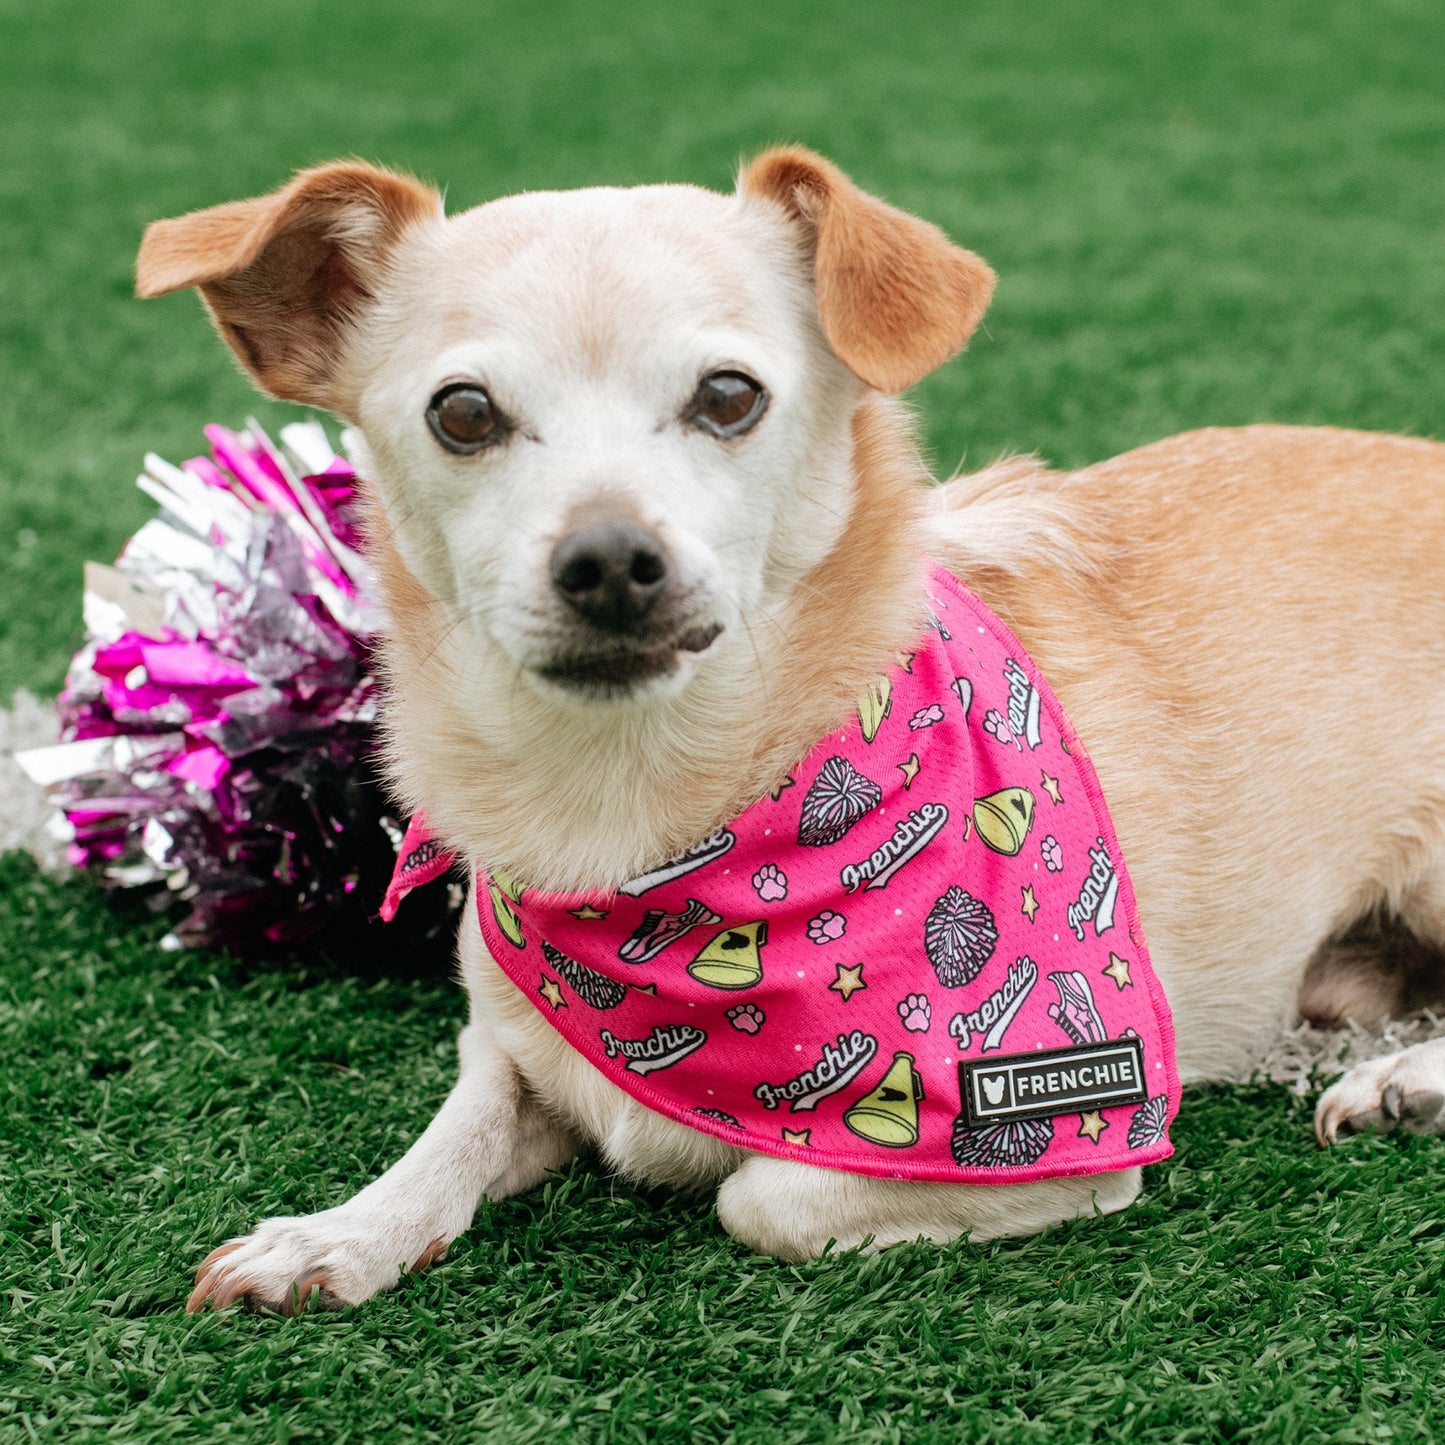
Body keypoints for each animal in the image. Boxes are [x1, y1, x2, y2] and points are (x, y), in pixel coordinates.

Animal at [132, 152, 1445, 1317]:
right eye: (462, 414)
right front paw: (337, 1232)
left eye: (728, 396)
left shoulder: (1051, 1128)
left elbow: (760, 1196)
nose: (607, 557)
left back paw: (1403, 1078)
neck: (635, 816)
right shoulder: (505, 1046)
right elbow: (452, 1132)